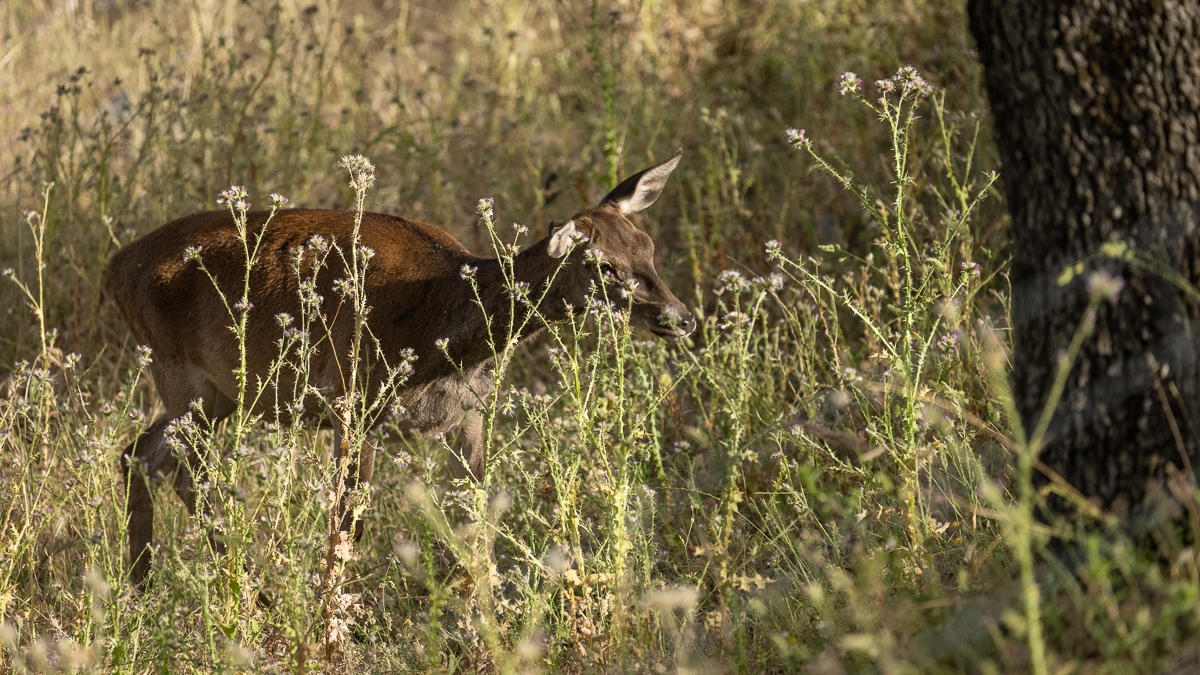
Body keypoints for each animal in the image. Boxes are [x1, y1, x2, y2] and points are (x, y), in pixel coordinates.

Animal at [105, 150, 695, 585]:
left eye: (647, 246)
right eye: (604, 266)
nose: (681, 317)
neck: (446, 339)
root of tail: (117, 267)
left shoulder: (472, 413)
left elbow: (477, 520)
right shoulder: (354, 404)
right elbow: (348, 529)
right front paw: (331, 633)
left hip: (214, 394)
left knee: (139, 454)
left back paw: (143, 586)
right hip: (181, 375)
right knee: (186, 473)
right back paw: (241, 591)